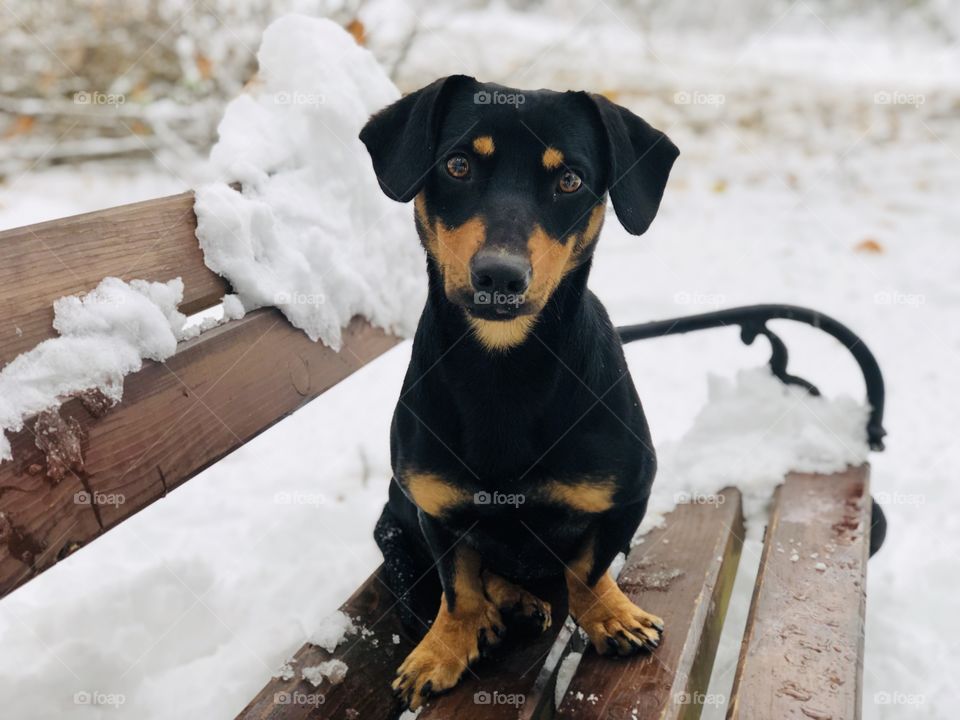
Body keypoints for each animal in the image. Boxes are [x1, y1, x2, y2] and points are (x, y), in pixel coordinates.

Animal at [360, 74, 684, 708]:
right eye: (458, 164)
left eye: (570, 179)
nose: (500, 276)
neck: (505, 370)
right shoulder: (433, 508)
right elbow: (457, 586)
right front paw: (446, 646)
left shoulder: (629, 494)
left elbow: (588, 567)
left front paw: (607, 613)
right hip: (391, 525)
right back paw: (502, 606)